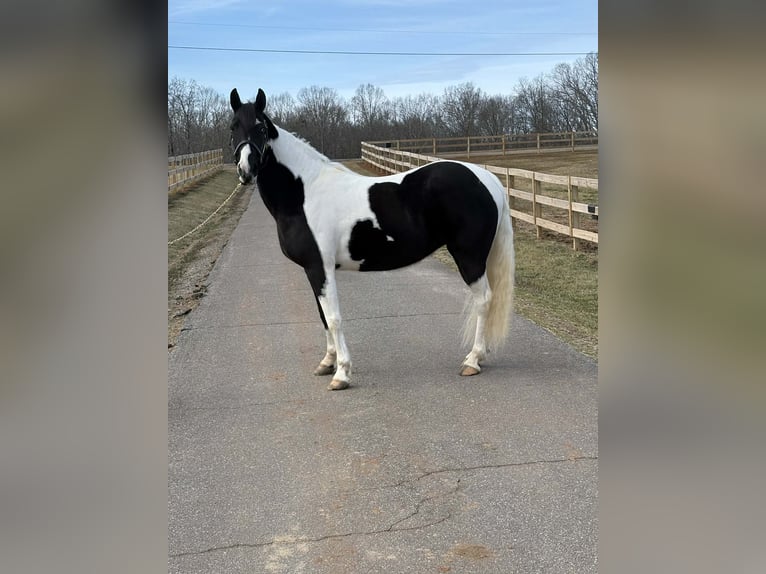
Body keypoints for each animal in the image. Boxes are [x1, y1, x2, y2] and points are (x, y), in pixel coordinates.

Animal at [229, 88, 514, 390]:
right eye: (233, 127)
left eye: (260, 127)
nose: (246, 169)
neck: (304, 193)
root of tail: (487, 179)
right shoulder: (312, 269)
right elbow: (323, 317)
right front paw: (327, 363)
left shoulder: (320, 267)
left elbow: (334, 318)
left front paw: (342, 373)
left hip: (469, 257)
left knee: (483, 300)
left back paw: (473, 360)